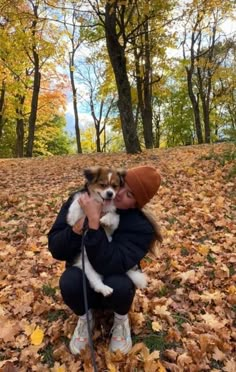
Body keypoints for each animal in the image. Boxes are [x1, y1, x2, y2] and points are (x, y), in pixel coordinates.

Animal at [67, 166, 148, 296]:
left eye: (115, 186)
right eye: (103, 185)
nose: (110, 194)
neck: (101, 205)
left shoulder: (114, 220)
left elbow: (112, 217)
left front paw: (104, 220)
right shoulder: (76, 216)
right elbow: (76, 206)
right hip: (88, 266)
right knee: (95, 282)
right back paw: (104, 289)